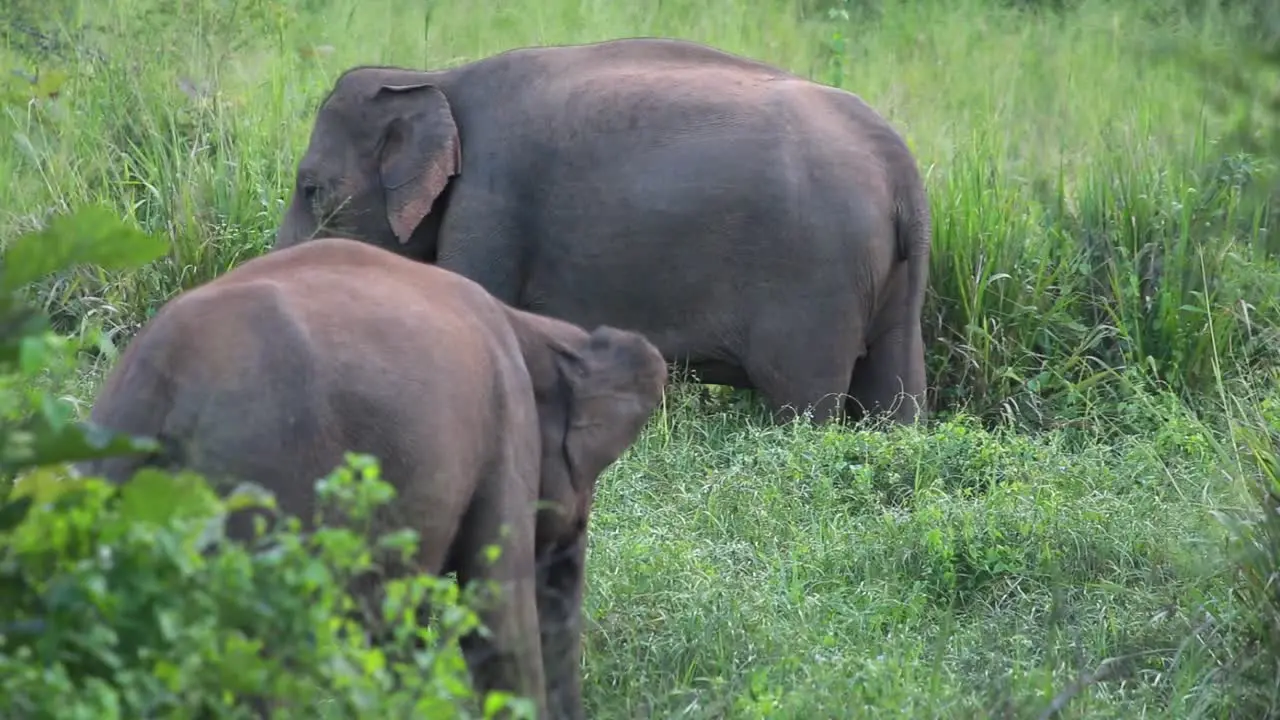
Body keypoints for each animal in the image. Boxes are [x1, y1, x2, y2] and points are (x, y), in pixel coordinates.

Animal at [77, 237, 670, 717]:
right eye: (586, 479)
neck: (529, 326)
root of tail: (160, 382)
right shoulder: (508, 423)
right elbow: (498, 614)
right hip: (262, 483)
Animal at [275, 36, 931, 422]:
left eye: (311, 189)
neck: (435, 76)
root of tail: (903, 172)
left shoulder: (490, 201)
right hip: (892, 277)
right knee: (894, 393)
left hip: (816, 282)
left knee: (806, 402)